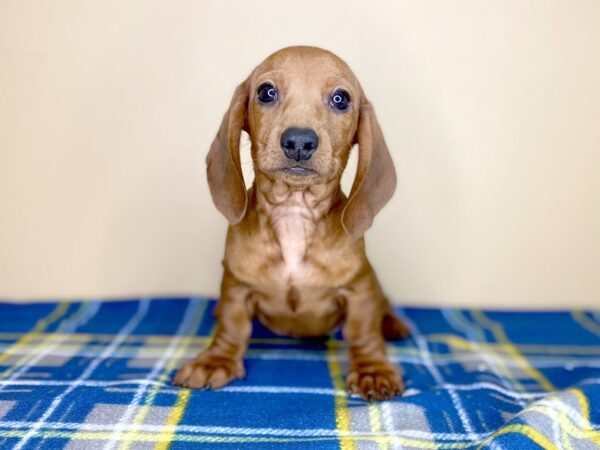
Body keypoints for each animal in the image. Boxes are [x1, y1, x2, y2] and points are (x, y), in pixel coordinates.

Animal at [171, 45, 410, 400]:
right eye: (266, 92)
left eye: (341, 99)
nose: (299, 141)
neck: (294, 213)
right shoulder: (236, 288)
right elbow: (232, 326)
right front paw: (216, 360)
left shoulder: (359, 288)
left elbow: (363, 331)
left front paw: (372, 370)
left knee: (384, 306)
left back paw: (393, 324)